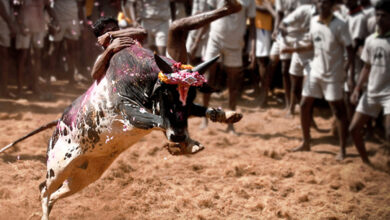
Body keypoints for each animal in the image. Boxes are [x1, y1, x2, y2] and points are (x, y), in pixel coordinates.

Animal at [38, 42, 241, 219]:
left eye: (192, 95)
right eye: (167, 93)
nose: (179, 136)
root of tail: (58, 125)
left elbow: (197, 110)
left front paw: (225, 115)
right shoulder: (129, 111)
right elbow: (159, 120)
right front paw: (183, 143)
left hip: (85, 175)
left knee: (55, 194)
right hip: (59, 167)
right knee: (44, 190)